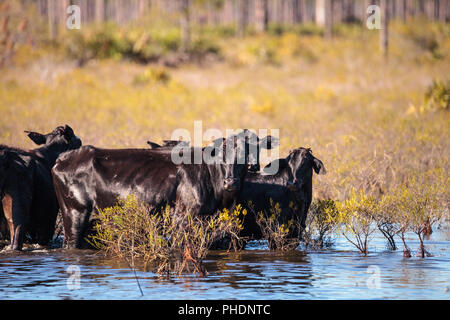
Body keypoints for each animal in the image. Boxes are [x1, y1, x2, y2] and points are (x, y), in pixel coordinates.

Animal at [51, 132, 272, 248]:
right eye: (220, 154)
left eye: (247, 152)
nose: (230, 182)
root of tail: (64, 158)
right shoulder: (182, 221)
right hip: (74, 216)